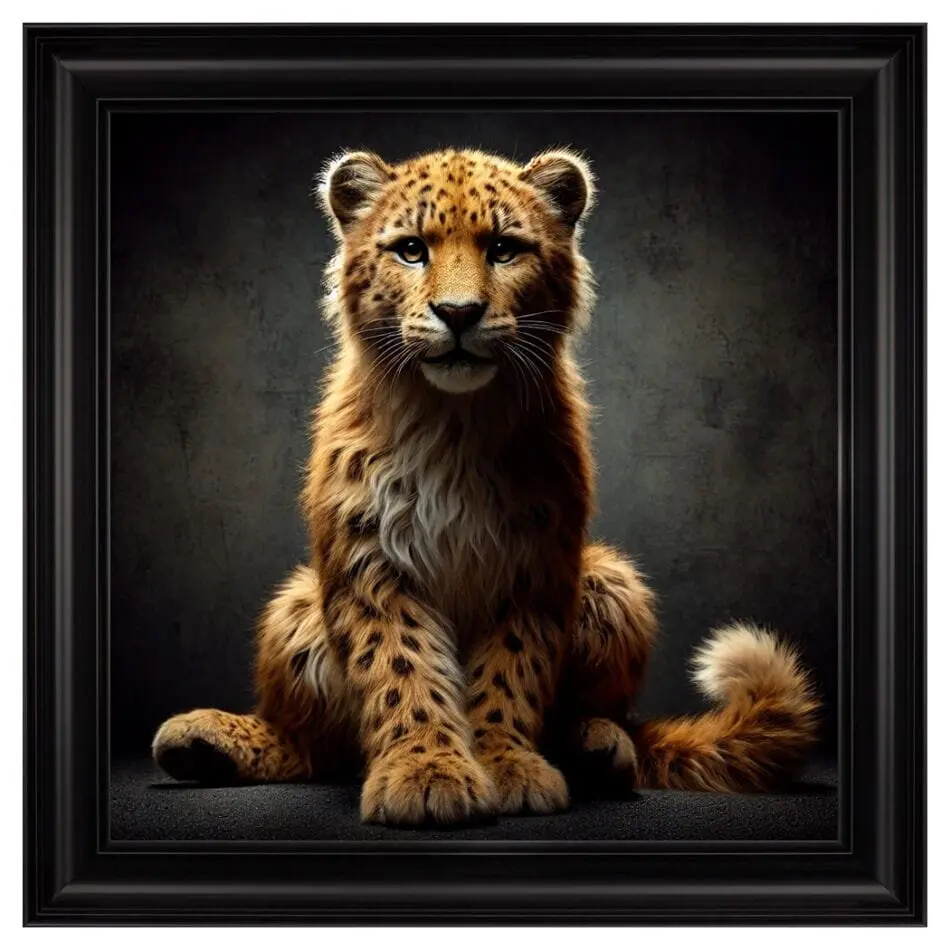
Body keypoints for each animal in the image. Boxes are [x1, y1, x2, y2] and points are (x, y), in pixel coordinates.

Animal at [152, 146, 821, 826]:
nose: (458, 314)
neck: (455, 422)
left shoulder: (535, 562)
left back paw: (597, 748)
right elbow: (401, 667)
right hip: (296, 604)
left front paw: (506, 768)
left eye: (503, 249)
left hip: (613, 582)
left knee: (621, 724)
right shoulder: (370, 560)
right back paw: (202, 742)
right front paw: (425, 773)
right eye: (411, 249)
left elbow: (510, 671)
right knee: (313, 744)